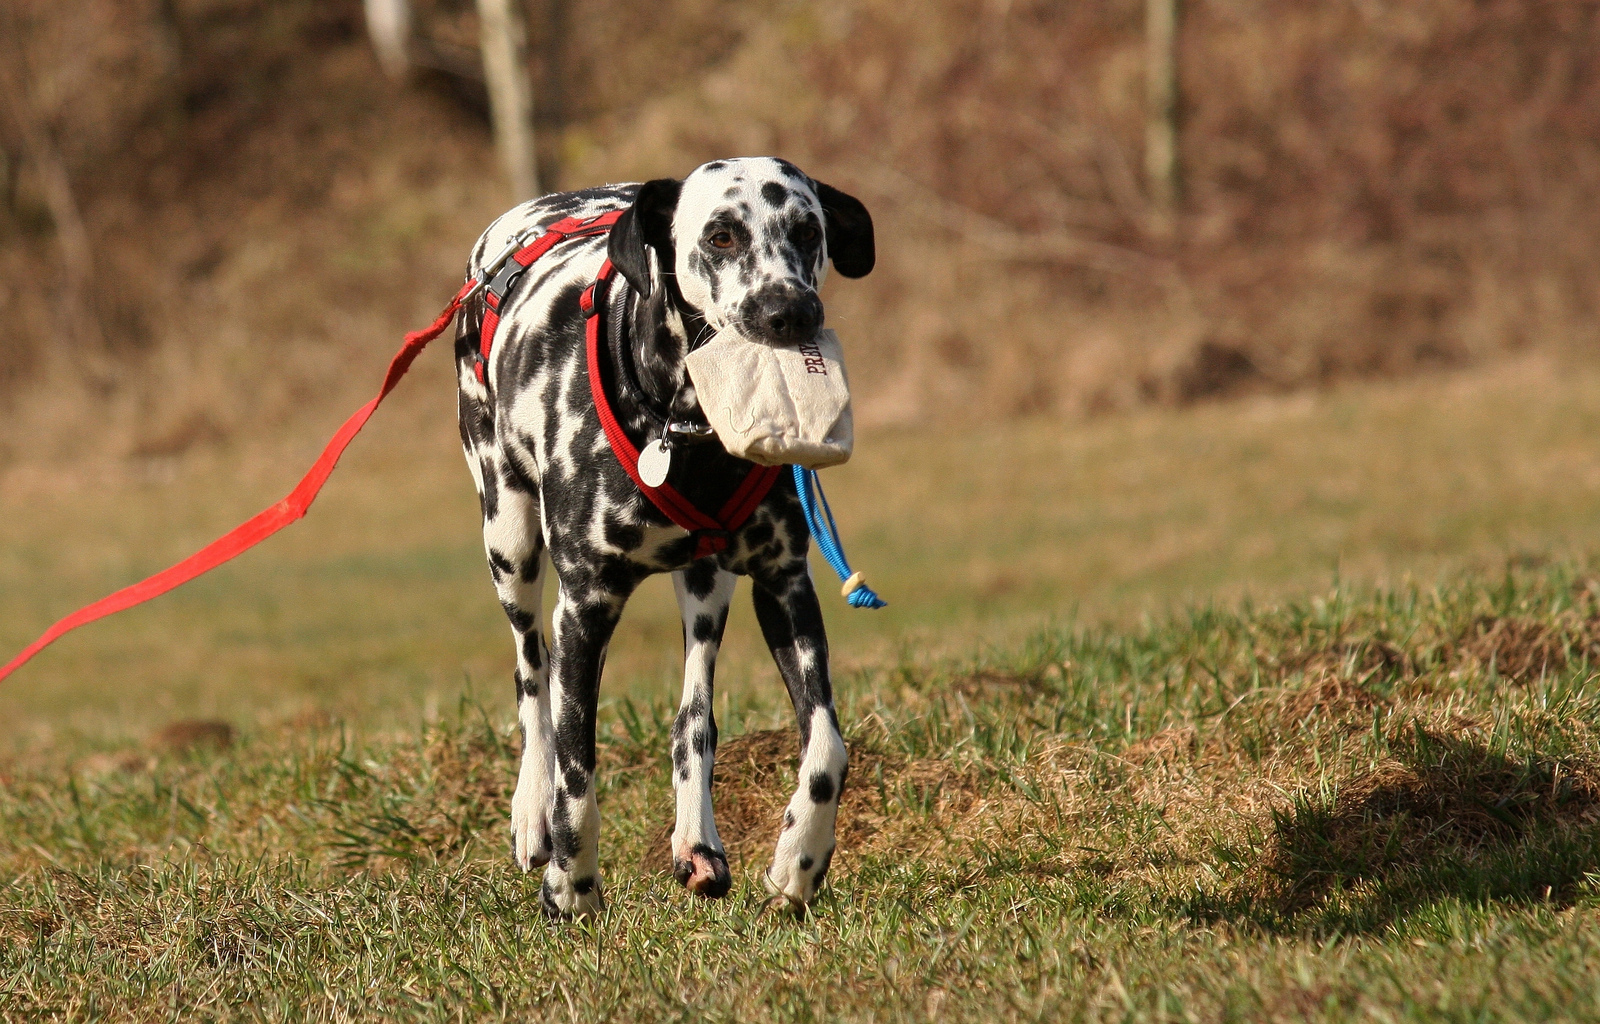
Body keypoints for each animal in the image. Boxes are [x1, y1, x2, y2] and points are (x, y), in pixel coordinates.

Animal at [451, 156, 876, 915]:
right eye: (722, 235)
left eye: (808, 229)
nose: (790, 311)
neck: (687, 433)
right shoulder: (584, 609)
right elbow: (577, 769)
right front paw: (572, 885)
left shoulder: (783, 587)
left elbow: (827, 747)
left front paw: (800, 861)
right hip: (509, 543)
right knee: (532, 677)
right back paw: (532, 812)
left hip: (707, 588)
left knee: (692, 720)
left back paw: (696, 842)